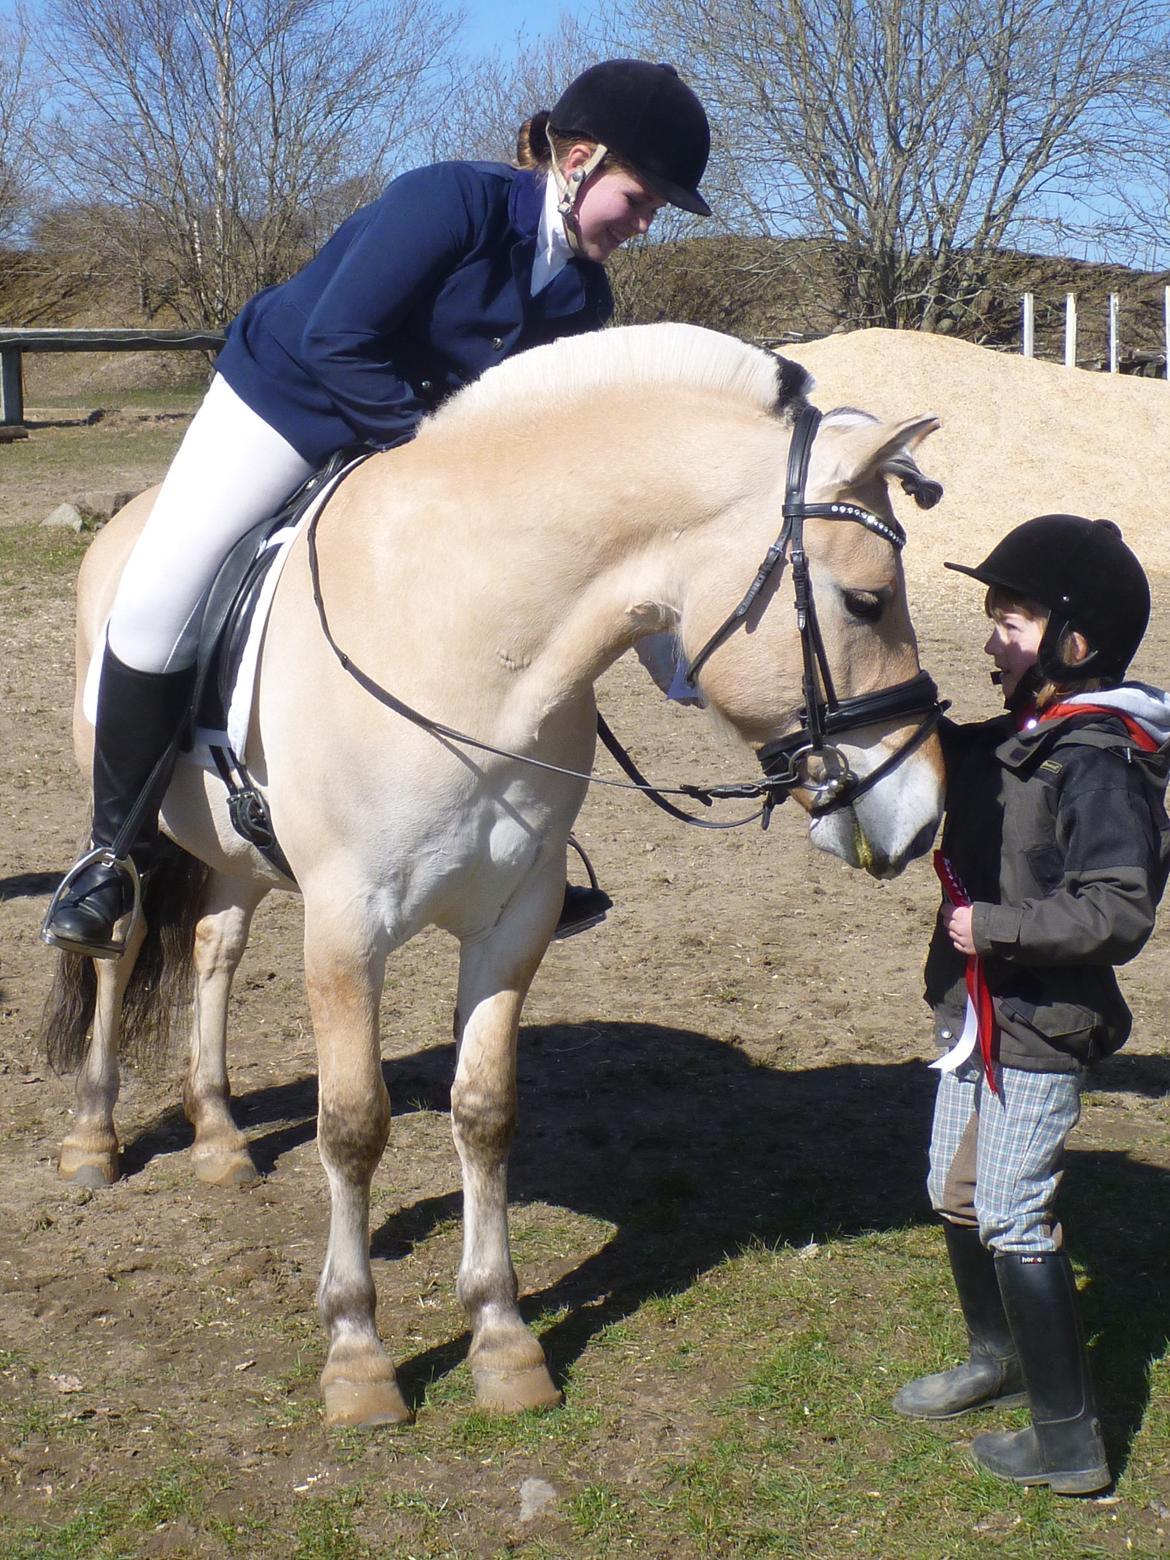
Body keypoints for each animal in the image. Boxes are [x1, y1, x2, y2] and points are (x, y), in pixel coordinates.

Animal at [45, 326, 948, 1428]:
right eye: (866, 601)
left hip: (237, 853)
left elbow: (484, 1111)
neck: (464, 636)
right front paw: (357, 1354)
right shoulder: (346, 932)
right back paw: (94, 1137)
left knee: (216, 944)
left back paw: (217, 1133)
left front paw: (503, 1338)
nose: (922, 811)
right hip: (132, 829)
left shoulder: (514, 921)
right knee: (120, 944)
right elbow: (353, 1124)